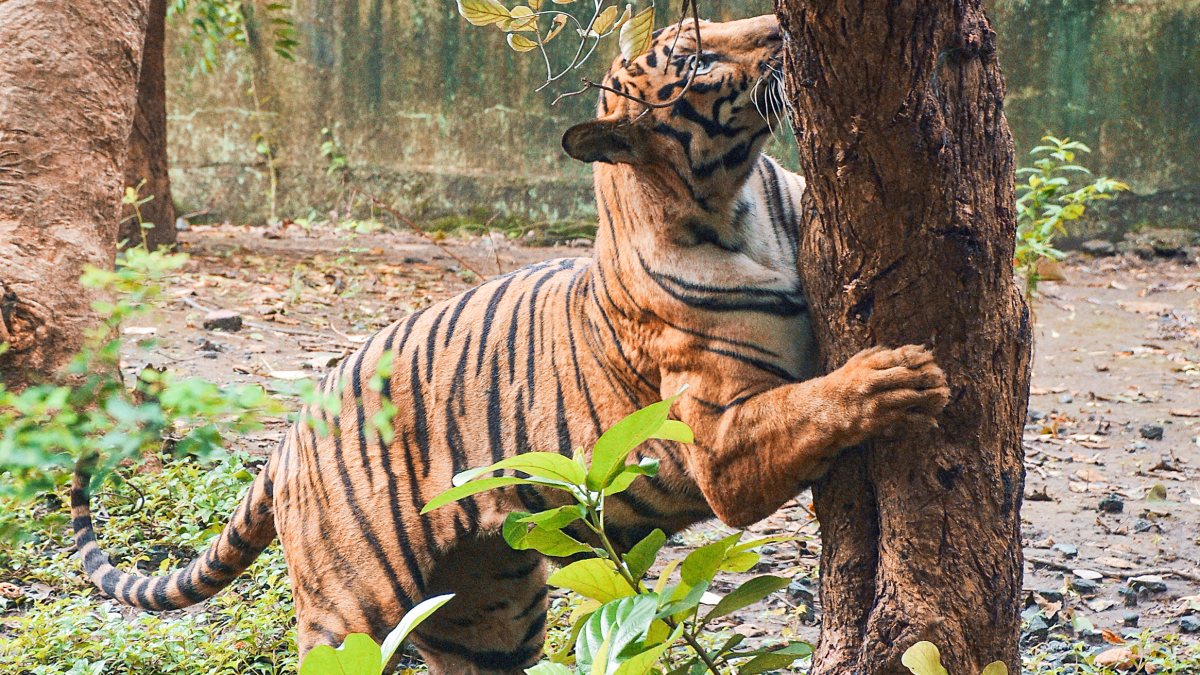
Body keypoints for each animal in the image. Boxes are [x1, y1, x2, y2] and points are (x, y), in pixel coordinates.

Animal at [71, 13, 949, 674]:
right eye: (696, 58)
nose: (781, 25)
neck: (735, 204)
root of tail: (291, 434)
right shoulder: (718, 442)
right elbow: (810, 402)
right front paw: (899, 376)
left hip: (489, 617)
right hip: (349, 608)